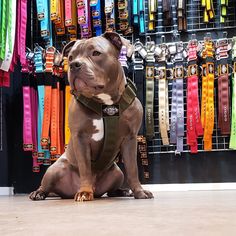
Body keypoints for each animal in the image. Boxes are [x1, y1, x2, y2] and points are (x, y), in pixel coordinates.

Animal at [29, 31, 154, 201]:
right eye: (71, 57)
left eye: (96, 53)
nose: (74, 65)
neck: (105, 104)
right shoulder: (80, 137)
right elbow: (85, 168)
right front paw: (84, 192)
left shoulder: (130, 138)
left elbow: (132, 169)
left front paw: (139, 192)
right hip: (55, 169)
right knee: (46, 185)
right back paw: (39, 193)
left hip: (117, 172)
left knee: (114, 186)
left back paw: (122, 191)